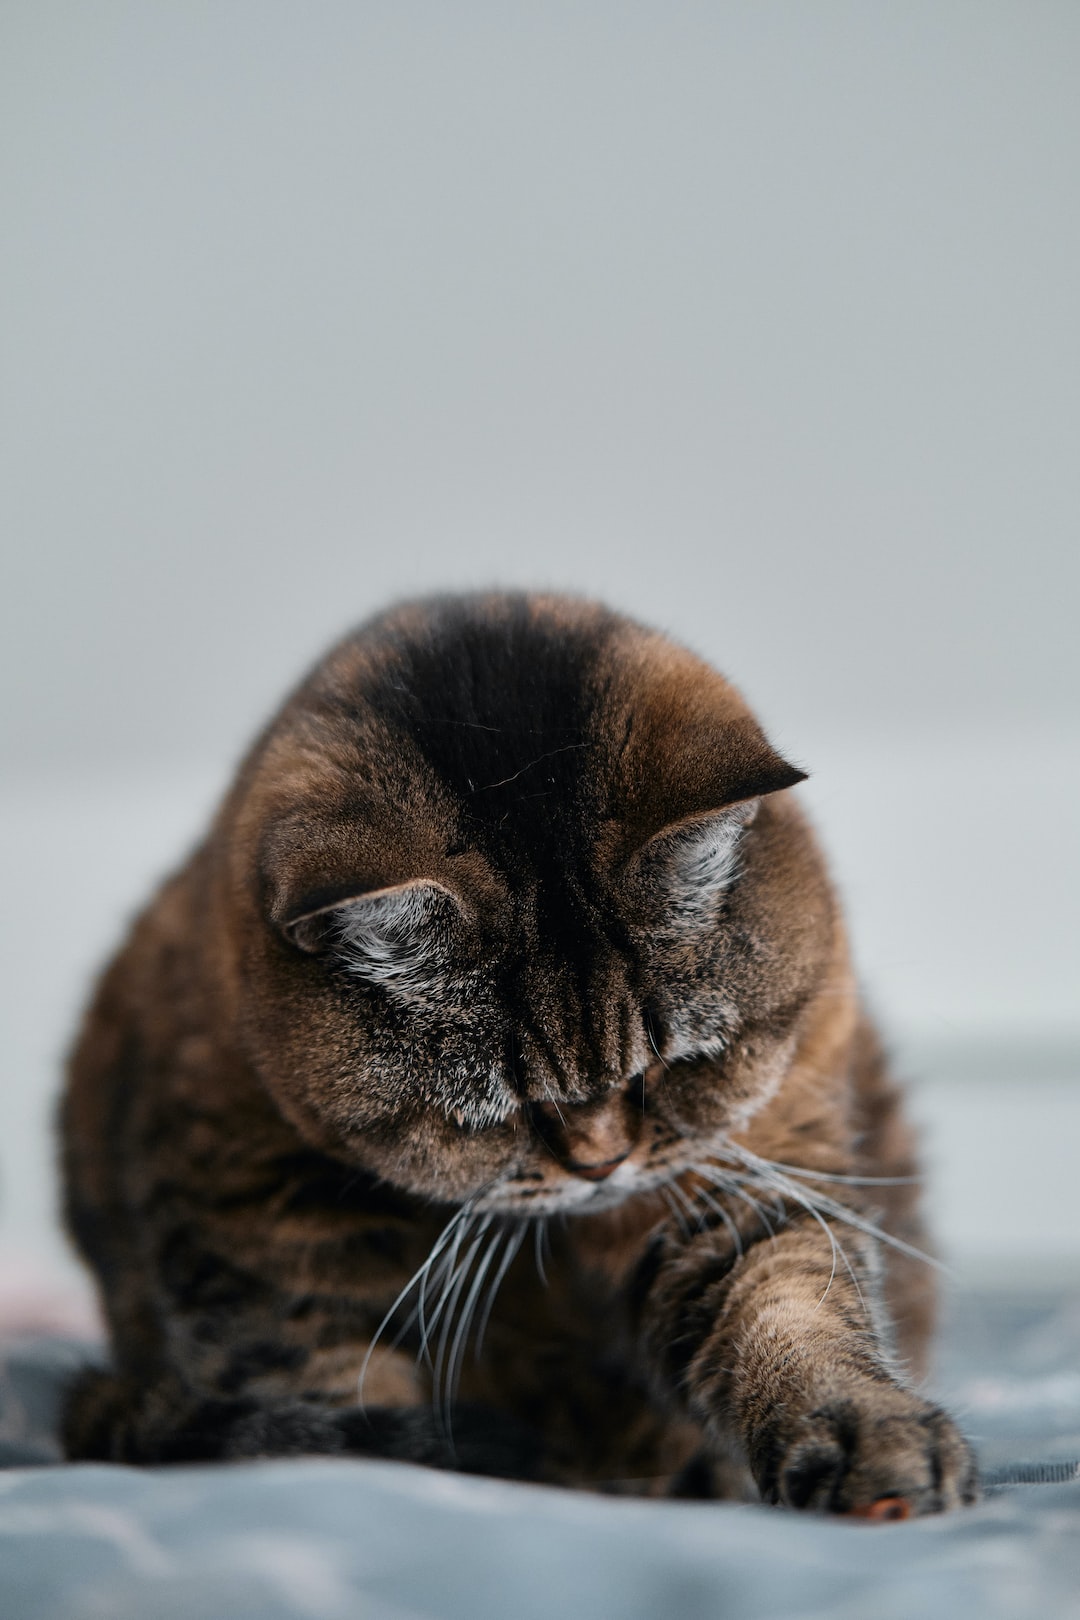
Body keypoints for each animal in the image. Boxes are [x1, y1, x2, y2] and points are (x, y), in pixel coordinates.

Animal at [57, 596, 977, 1516]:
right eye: (491, 1111)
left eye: (676, 1065)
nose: (603, 1165)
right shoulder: (255, 1214)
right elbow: (323, 1384)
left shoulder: (738, 1173)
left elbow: (789, 1308)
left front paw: (868, 1436)